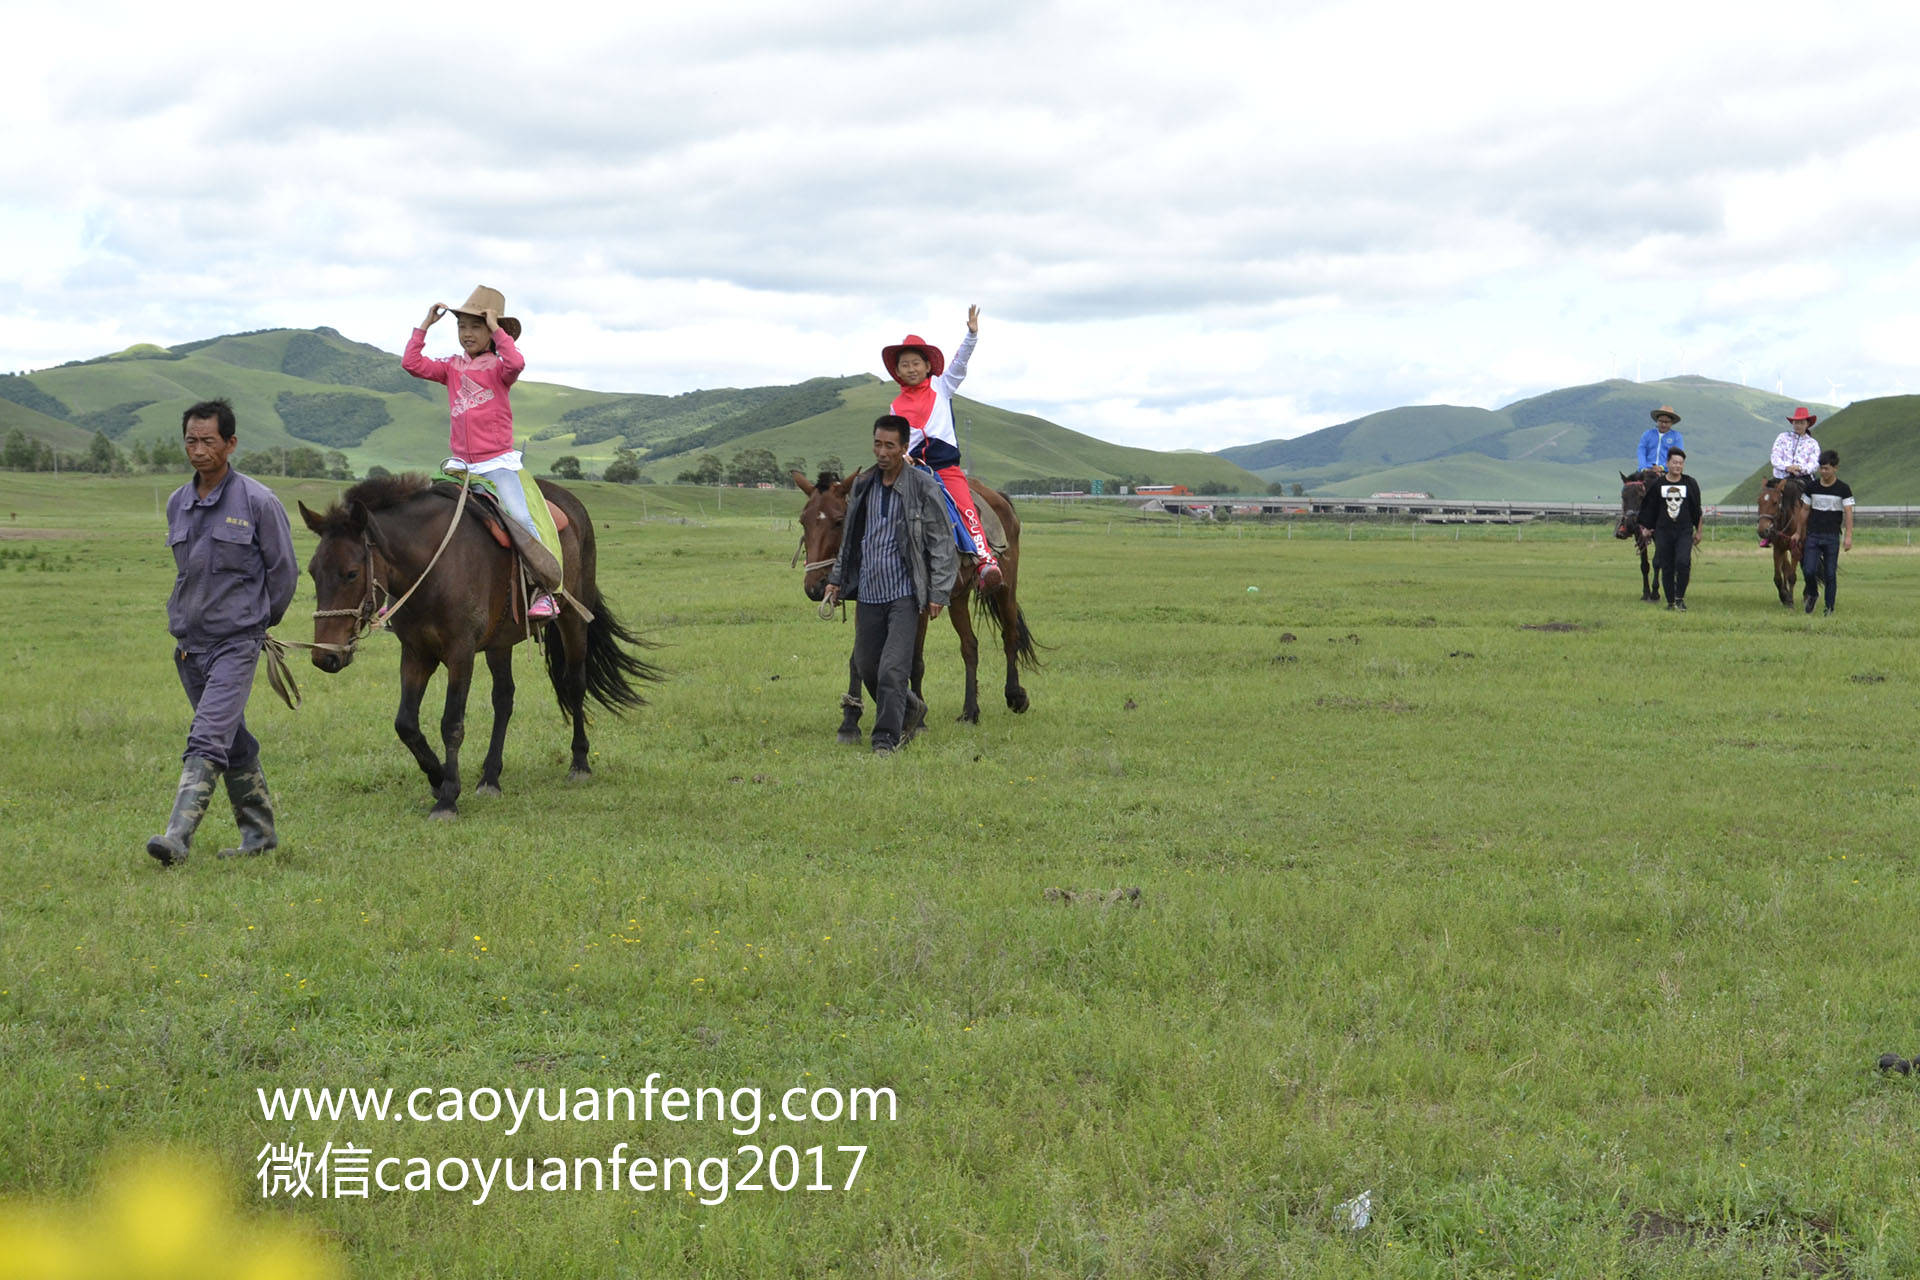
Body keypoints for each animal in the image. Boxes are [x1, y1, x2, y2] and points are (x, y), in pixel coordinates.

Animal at [297, 474, 660, 821]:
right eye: (312, 571)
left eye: (351, 573)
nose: (324, 656)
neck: (433, 566)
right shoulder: (416, 653)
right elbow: (406, 725)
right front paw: (437, 776)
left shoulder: (461, 652)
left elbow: (452, 724)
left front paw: (447, 798)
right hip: (500, 641)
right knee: (504, 698)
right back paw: (490, 778)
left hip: (573, 619)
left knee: (574, 684)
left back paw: (580, 763)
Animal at [791, 468, 1044, 740]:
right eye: (803, 521)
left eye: (839, 520)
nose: (815, 587)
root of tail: (999, 498)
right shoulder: (866, 603)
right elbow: (858, 659)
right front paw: (849, 722)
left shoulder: (918, 606)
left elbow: (915, 661)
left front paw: (917, 720)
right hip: (957, 597)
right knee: (970, 646)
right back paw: (969, 712)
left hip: (1006, 587)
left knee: (1010, 636)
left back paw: (1015, 696)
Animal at [1605, 468, 1666, 602]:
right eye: (1623, 496)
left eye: (1641, 496)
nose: (1630, 522)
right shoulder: (1639, 537)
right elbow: (1644, 565)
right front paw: (1646, 593)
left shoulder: (1660, 537)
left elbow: (1657, 562)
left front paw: (1655, 594)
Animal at [1758, 477, 1804, 610]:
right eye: (1758, 501)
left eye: (1775, 502)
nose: (1762, 530)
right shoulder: (1778, 549)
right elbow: (1778, 577)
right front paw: (1785, 597)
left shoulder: (1796, 549)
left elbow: (1792, 576)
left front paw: (1791, 601)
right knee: (1785, 567)